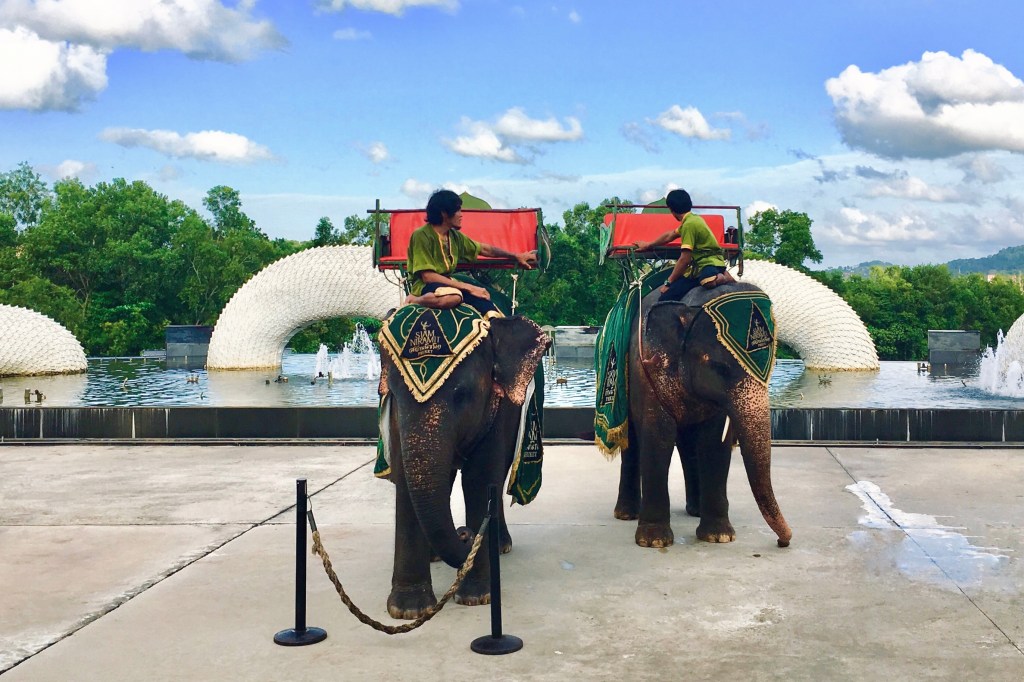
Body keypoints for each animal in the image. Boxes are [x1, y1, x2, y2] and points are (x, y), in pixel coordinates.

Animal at [379, 312, 550, 620]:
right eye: (394, 395)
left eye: (462, 395)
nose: (464, 534)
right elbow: (406, 481)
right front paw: (408, 611)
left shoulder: (499, 409)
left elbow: (479, 480)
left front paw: (477, 597)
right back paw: (436, 555)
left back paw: (500, 546)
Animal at [613, 281, 792, 549]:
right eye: (719, 368)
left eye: (771, 366)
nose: (783, 542)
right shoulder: (648, 373)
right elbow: (658, 437)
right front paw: (654, 541)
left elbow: (713, 443)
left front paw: (719, 537)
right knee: (633, 441)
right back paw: (625, 514)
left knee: (689, 446)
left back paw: (695, 510)